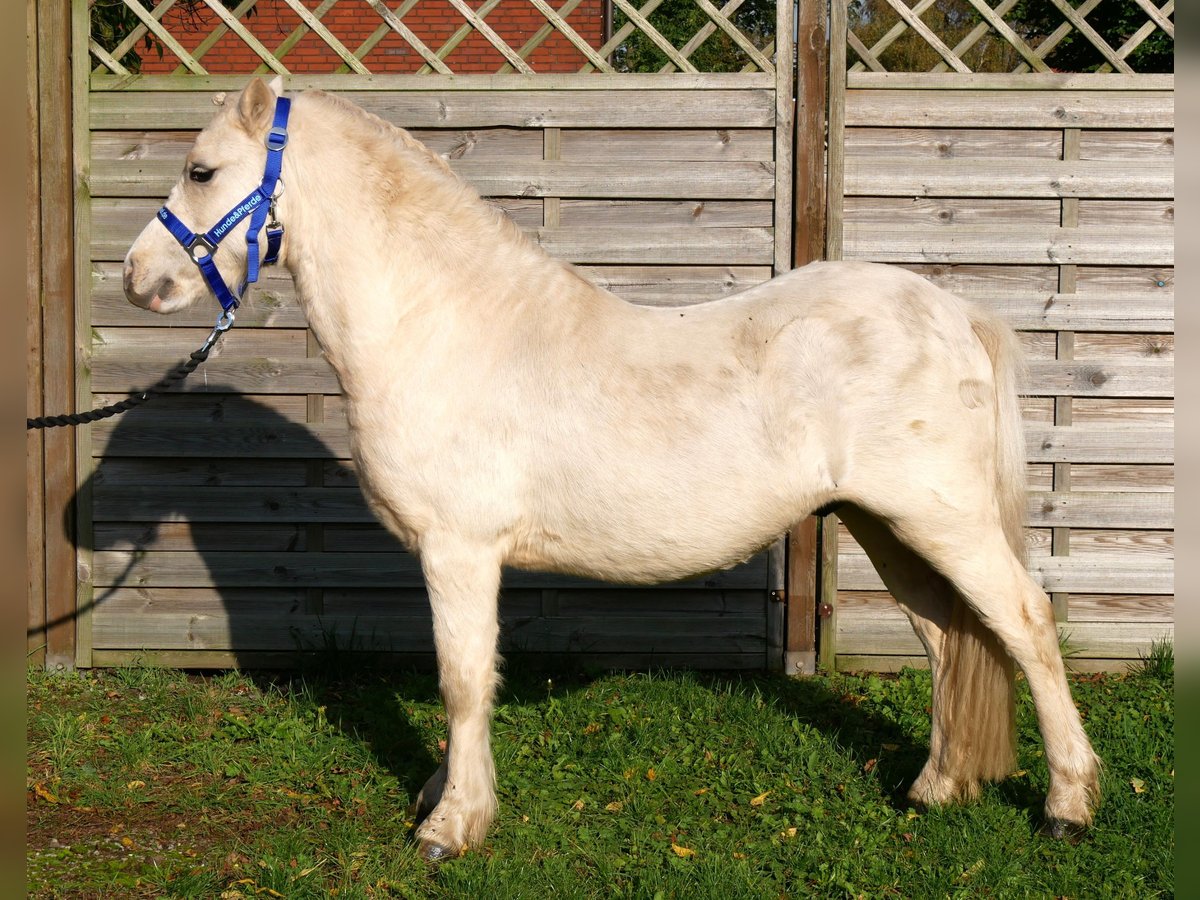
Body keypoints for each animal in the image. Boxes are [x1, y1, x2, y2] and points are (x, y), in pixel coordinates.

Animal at [126, 77, 1099, 859]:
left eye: (202, 171)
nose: (137, 276)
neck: (443, 322)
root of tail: (954, 309)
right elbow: (461, 676)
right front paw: (442, 797)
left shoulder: (458, 550)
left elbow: (461, 679)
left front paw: (451, 828)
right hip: (887, 524)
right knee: (948, 637)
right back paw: (935, 789)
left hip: (943, 518)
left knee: (1024, 623)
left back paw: (1067, 806)